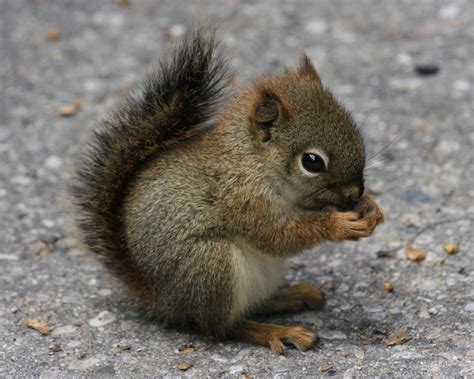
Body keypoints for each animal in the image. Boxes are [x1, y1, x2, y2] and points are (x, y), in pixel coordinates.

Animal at [72, 28, 386, 354]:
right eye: (312, 162)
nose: (355, 191)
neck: (252, 161)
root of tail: (161, 300)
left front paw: (371, 208)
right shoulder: (242, 199)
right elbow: (277, 235)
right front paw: (339, 224)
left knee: (252, 306)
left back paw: (290, 296)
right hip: (211, 266)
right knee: (223, 327)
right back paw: (276, 331)